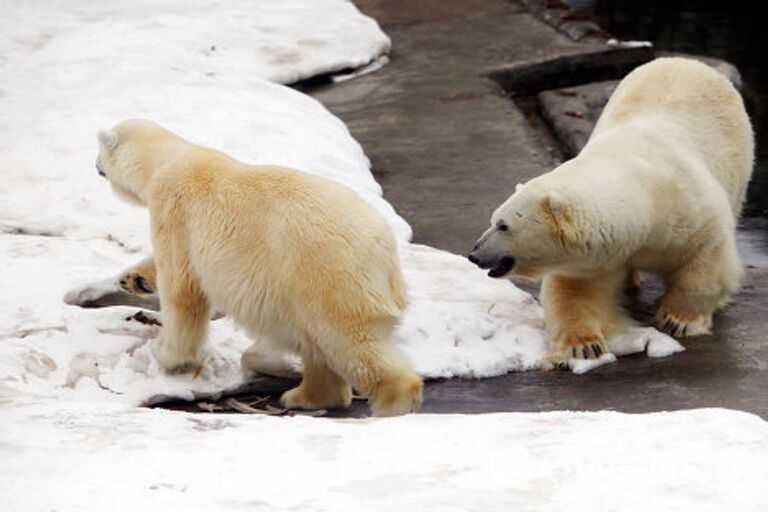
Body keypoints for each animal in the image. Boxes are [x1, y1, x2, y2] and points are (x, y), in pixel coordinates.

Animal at [94, 120, 426, 416]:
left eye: (100, 150)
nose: (95, 164)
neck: (169, 159)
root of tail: (386, 253)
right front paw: (133, 279)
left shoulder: (174, 211)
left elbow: (181, 289)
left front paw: (167, 355)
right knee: (316, 343)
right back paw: (303, 397)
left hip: (329, 275)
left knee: (349, 342)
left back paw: (394, 403)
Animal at [464, 59, 752, 364]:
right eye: (493, 220)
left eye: (504, 225)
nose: (474, 254)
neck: (645, 197)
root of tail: (689, 62)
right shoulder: (598, 252)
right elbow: (575, 290)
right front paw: (583, 346)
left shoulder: (691, 212)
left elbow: (707, 261)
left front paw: (678, 320)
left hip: (737, 159)